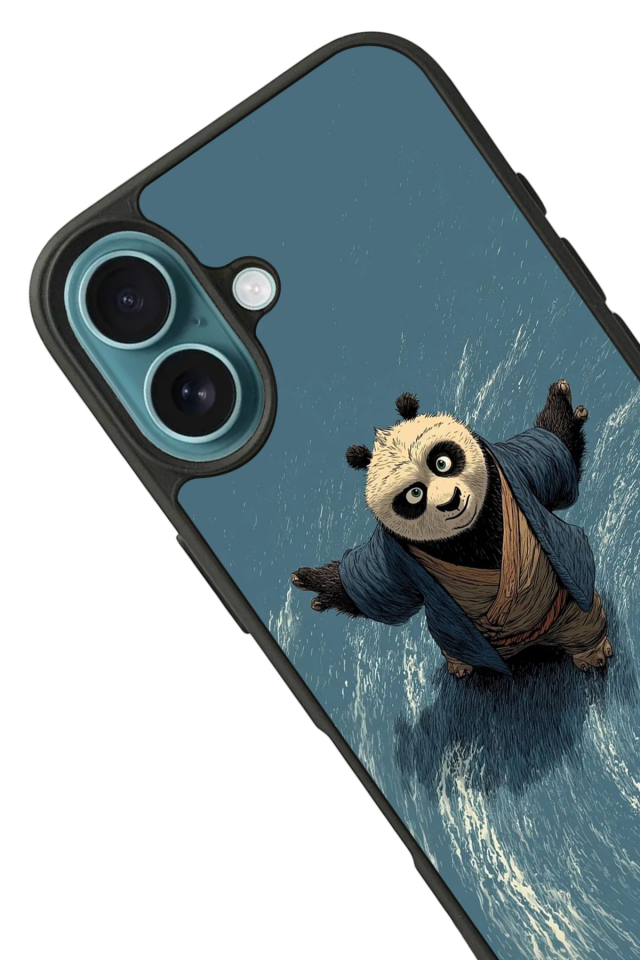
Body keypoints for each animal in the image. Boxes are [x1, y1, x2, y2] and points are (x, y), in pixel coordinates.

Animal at [291, 381, 611, 677]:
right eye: (414, 494)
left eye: (441, 463)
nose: (450, 501)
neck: (471, 534)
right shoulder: (393, 555)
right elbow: (379, 587)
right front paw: (318, 584)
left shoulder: (515, 467)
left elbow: (552, 453)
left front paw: (561, 407)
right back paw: (461, 665)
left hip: (568, 609)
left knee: (583, 622)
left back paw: (592, 652)